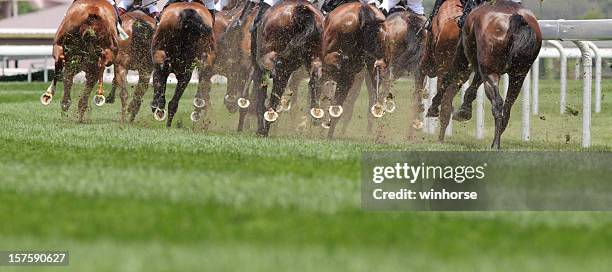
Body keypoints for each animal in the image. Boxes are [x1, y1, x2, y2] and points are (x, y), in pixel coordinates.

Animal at [251, 0, 326, 136]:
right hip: (315, 57)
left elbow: (261, 94)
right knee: (315, 79)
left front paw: (261, 127)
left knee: (276, 74)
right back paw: (315, 114)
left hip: (268, 56)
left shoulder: (259, 67)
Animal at [436, 0, 540, 149]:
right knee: (507, 107)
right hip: (518, 75)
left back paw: (495, 144)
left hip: (491, 72)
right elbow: (472, 87)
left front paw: (433, 108)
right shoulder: (482, 66)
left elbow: (448, 78)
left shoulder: (462, 54)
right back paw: (495, 140)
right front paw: (464, 111)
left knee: (497, 103)